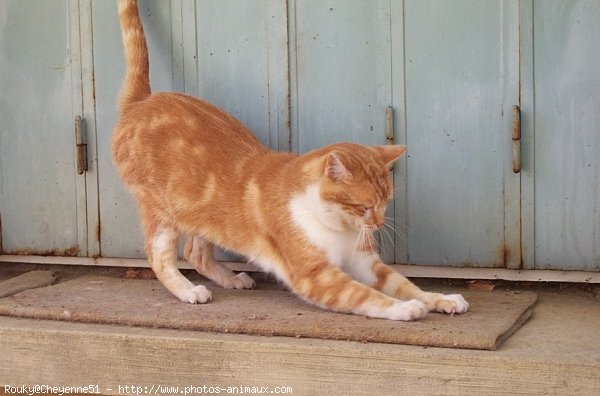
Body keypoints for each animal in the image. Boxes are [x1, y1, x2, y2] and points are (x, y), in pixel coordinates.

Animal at [113, 0, 468, 320]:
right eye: (364, 206)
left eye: (386, 203)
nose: (379, 224)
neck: (337, 226)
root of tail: (141, 101)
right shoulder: (316, 276)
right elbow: (366, 295)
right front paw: (407, 308)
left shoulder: (365, 263)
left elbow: (403, 283)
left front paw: (440, 298)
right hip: (161, 210)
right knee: (159, 255)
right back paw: (188, 290)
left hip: (199, 212)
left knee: (195, 252)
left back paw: (231, 279)